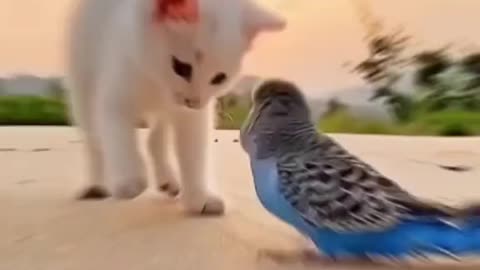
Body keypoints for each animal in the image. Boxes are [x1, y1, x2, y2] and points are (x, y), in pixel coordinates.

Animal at [64, 0, 284, 215]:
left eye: (219, 78)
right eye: (181, 67)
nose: (193, 101)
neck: (157, 84)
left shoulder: (192, 116)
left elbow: (194, 151)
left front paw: (200, 197)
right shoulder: (116, 92)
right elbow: (118, 136)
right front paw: (129, 179)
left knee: (154, 139)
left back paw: (167, 180)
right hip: (83, 82)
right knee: (94, 139)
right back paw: (97, 185)